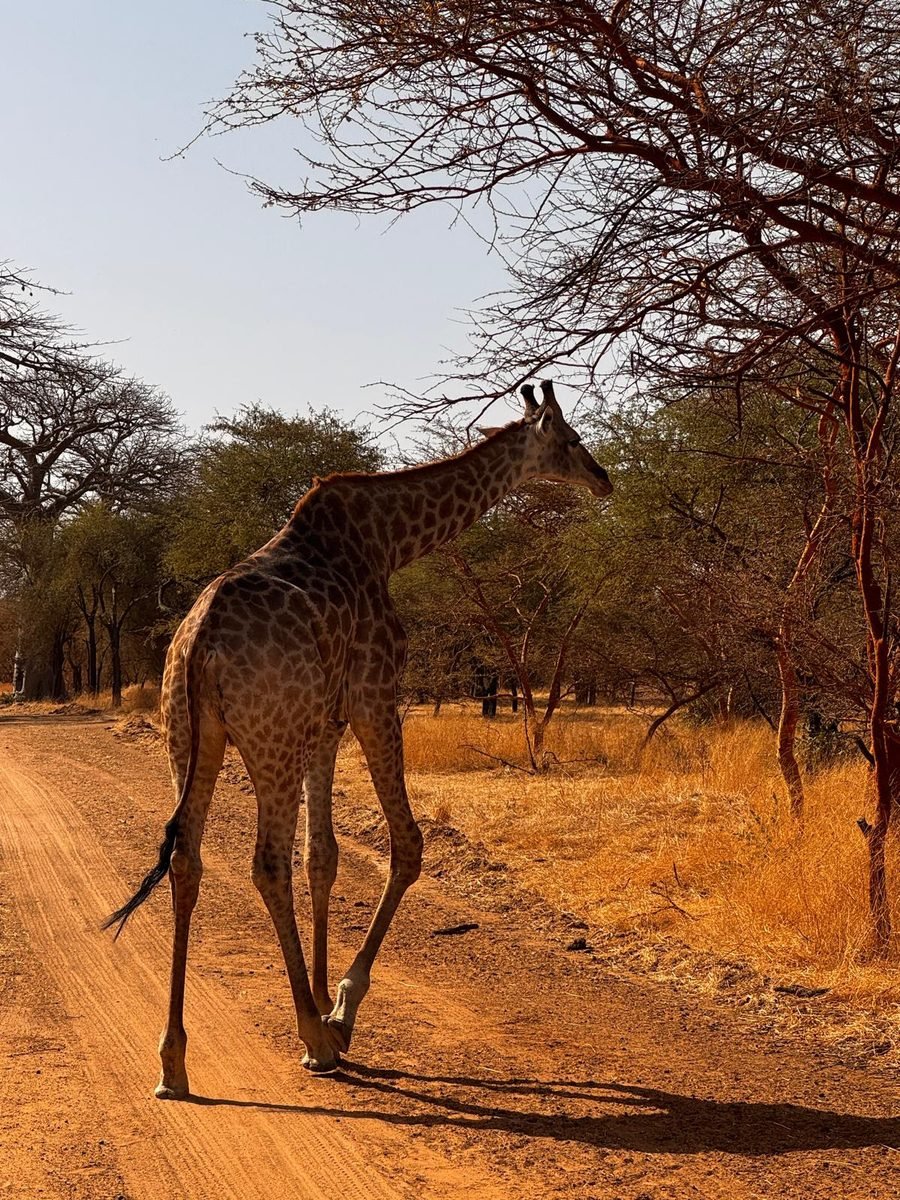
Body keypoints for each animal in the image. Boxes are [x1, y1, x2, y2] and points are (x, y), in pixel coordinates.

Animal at [104, 380, 612, 1097]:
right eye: (569, 439)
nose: (603, 478)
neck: (390, 541)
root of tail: (198, 645)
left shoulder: (325, 721)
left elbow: (323, 856)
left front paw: (323, 1001)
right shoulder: (374, 695)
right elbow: (408, 846)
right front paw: (338, 1011)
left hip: (191, 739)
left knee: (187, 859)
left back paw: (173, 1062)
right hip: (272, 741)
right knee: (265, 862)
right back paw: (310, 1037)